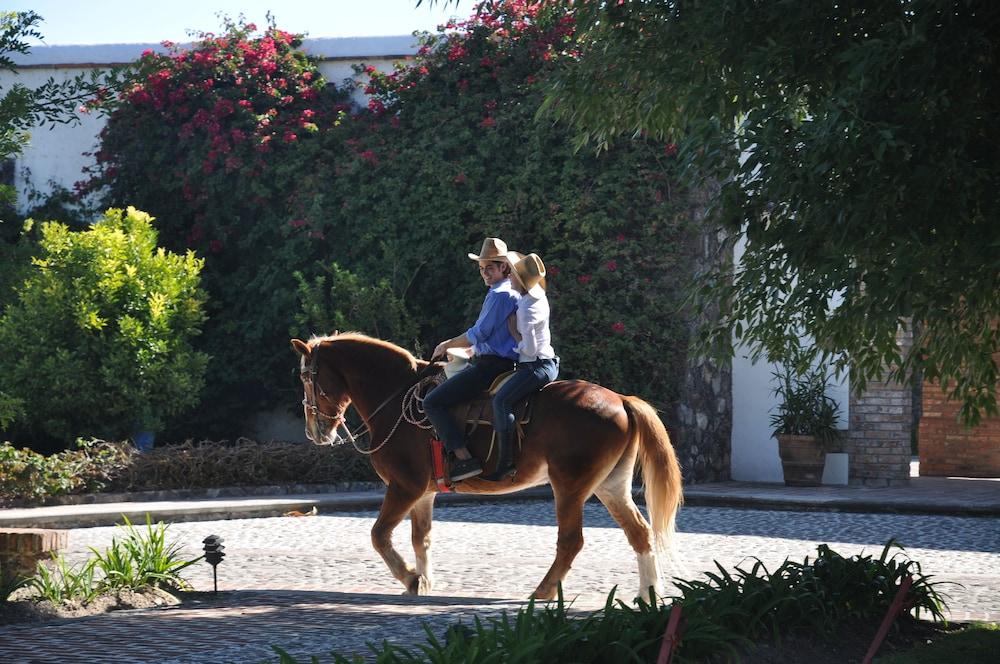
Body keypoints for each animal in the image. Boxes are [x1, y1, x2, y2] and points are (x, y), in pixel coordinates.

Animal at [286, 334, 684, 600]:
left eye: (308, 379)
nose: (314, 431)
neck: (396, 396)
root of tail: (620, 399)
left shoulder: (404, 487)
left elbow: (379, 535)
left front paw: (411, 579)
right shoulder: (423, 493)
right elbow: (421, 538)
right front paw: (424, 581)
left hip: (569, 487)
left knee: (571, 541)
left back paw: (543, 591)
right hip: (611, 486)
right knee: (640, 533)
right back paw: (649, 594)